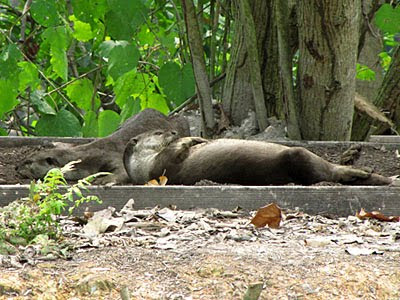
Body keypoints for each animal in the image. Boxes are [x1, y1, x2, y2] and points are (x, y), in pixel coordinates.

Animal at [16, 108, 189, 183]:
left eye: (28, 162)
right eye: (26, 158)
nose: (16, 167)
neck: (86, 156)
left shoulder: (110, 156)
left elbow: (123, 172)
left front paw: (104, 180)